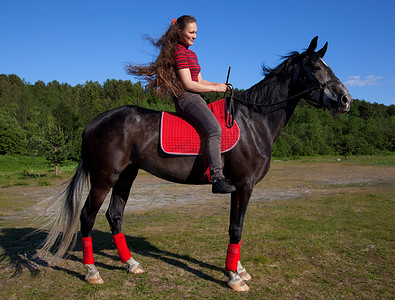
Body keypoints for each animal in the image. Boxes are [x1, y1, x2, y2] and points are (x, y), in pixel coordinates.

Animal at [38, 37, 352, 290]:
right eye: (315, 67)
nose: (345, 100)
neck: (254, 121)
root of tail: (93, 122)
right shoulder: (244, 185)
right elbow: (237, 228)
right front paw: (234, 278)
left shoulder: (239, 187)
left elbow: (235, 226)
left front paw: (237, 269)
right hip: (105, 178)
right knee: (87, 218)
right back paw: (92, 271)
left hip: (126, 176)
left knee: (114, 216)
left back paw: (132, 264)